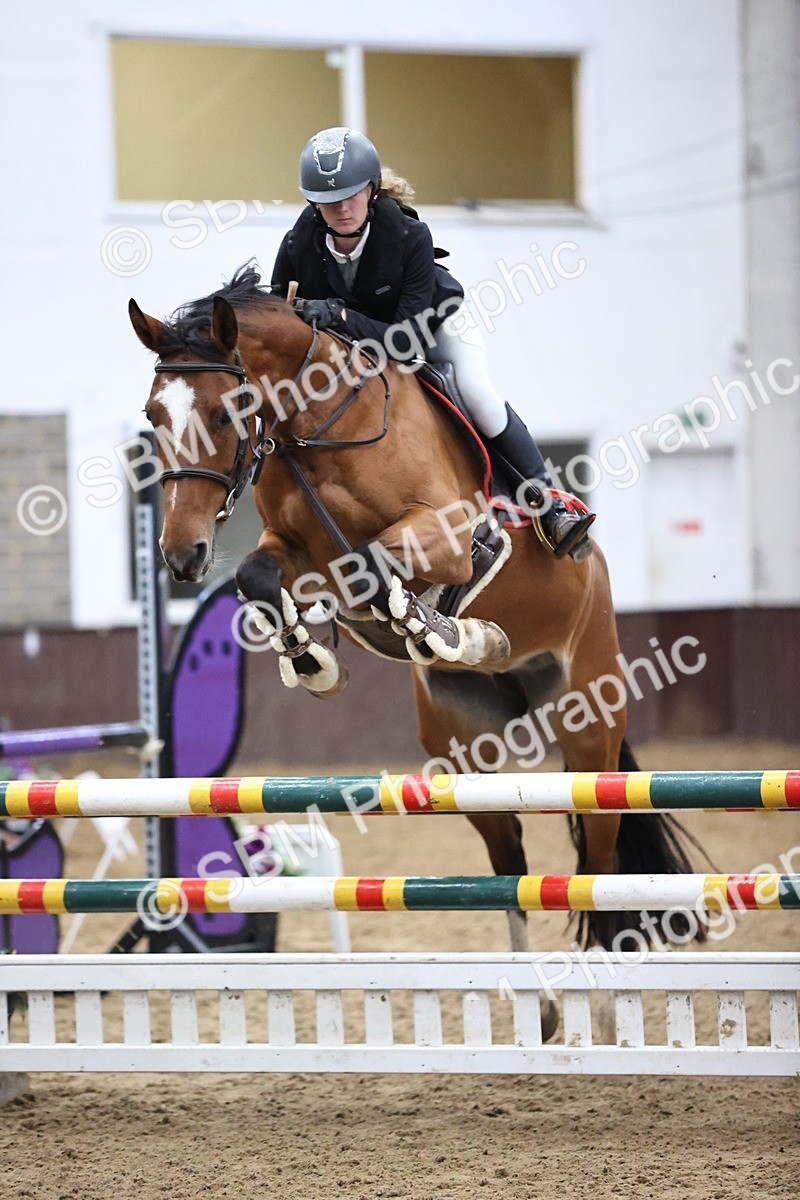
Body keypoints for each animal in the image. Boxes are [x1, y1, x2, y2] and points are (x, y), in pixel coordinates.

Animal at [129, 264, 701, 962]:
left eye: (222, 412)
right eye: (153, 414)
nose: (182, 555)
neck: (319, 429)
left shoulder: (448, 539)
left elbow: (381, 565)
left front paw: (441, 626)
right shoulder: (299, 555)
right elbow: (260, 575)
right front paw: (316, 662)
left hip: (590, 726)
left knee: (597, 867)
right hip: (464, 751)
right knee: (510, 864)